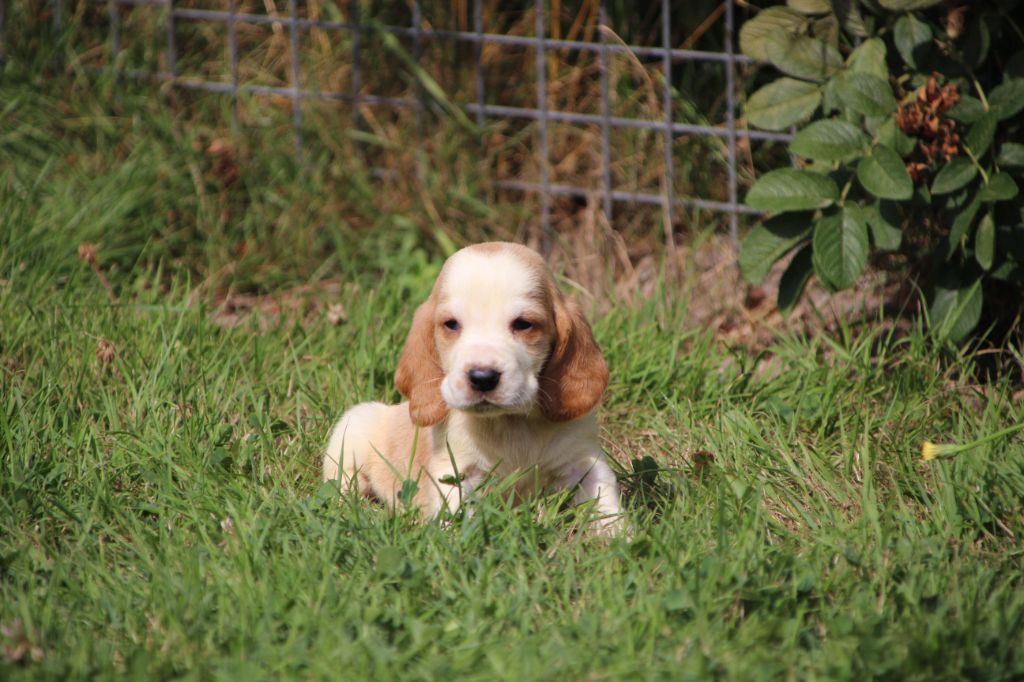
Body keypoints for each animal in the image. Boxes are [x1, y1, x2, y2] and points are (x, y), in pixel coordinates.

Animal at [323, 242, 621, 531]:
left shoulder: (586, 463)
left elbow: (607, 509)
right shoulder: (456, 473)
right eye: (451, 324)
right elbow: (452, 523)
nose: (482, 377)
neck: (511, 425)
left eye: (524, 324)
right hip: (354, 425)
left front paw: (618, 538)